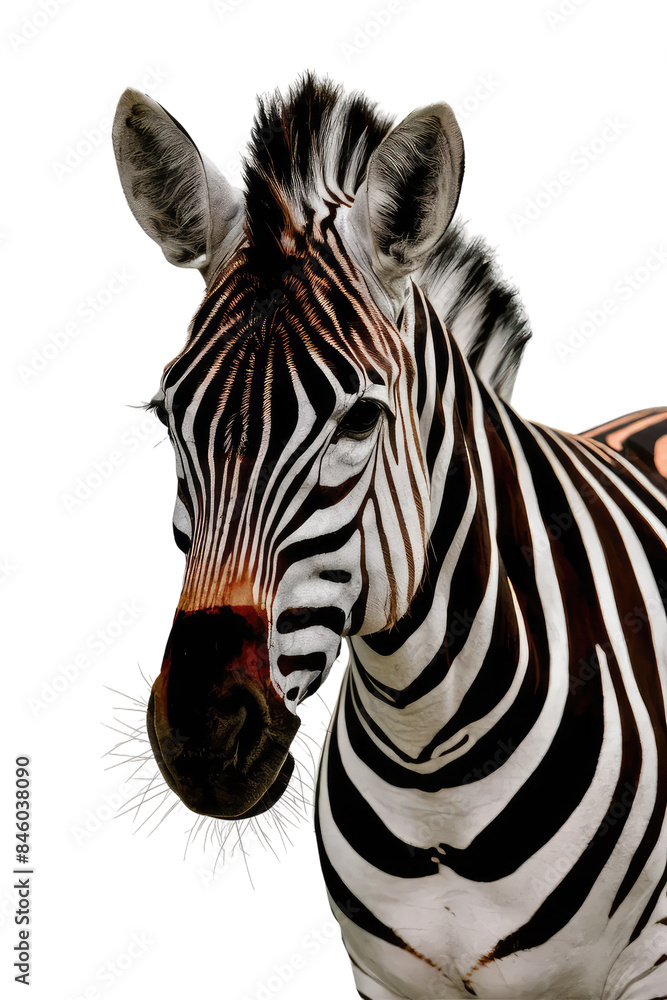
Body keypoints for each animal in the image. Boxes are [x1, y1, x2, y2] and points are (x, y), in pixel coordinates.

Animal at [113, 74, 667, 999]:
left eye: (361, 419)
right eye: (166, 416)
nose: (203, 737)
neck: (433, 766)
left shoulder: (647, 965)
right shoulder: (389, 979)